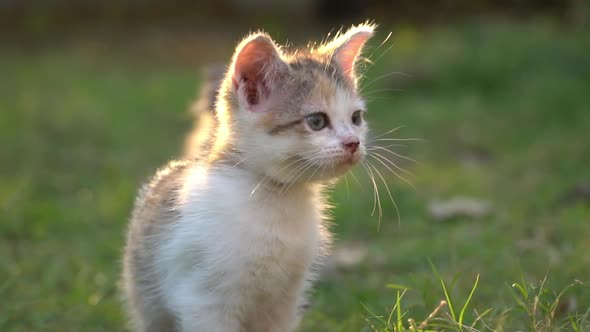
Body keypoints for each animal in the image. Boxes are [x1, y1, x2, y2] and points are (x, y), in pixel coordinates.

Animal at [122, 24, 376, 332]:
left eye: (356, 118)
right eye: (316, 121)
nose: (353, 143)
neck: (274, 200)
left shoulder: (284, 302)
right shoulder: (204, 302)